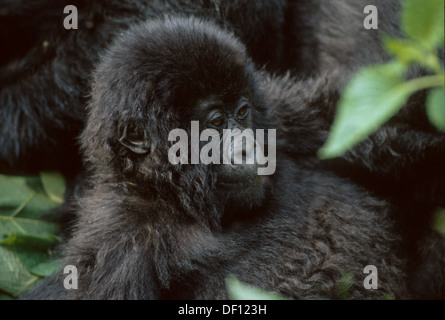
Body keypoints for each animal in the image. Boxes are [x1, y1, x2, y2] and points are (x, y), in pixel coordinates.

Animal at [36, 16, 408, 300]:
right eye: (215, 122)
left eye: (242, 112)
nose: (248, 148)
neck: (175, 199)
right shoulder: (117, 247)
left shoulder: (279, 111)